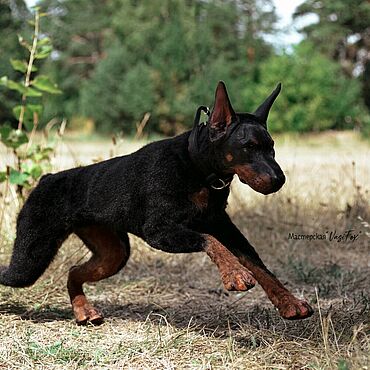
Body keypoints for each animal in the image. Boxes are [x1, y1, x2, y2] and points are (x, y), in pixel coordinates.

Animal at [0, 81, 314, 324]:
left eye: (271, 146)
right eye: (248, 147)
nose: (279, 179)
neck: (196, 168)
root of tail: (46, 178)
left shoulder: (223, 226)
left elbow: (258, 264)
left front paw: (288, 301)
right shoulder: (159, 231)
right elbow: (210, 242)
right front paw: (234, 273)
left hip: (114, 253)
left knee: (73, 272)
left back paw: (83, 311)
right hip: (30, 259)